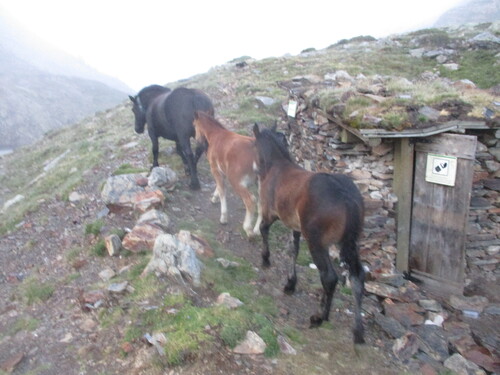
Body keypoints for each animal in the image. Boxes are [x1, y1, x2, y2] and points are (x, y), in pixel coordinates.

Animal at [252, 125, 366, 346]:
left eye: (253, 143)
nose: (255, 169)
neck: (277, 167)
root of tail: (346, 196)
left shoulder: (271, 214)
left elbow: (263, 229)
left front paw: (266, 259)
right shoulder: (295, 227)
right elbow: (293, 250)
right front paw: (290, 283)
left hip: (317, 243)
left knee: (329, 278)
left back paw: (320, 317)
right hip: (349, 243)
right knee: (357, 277)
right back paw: (358, 331)